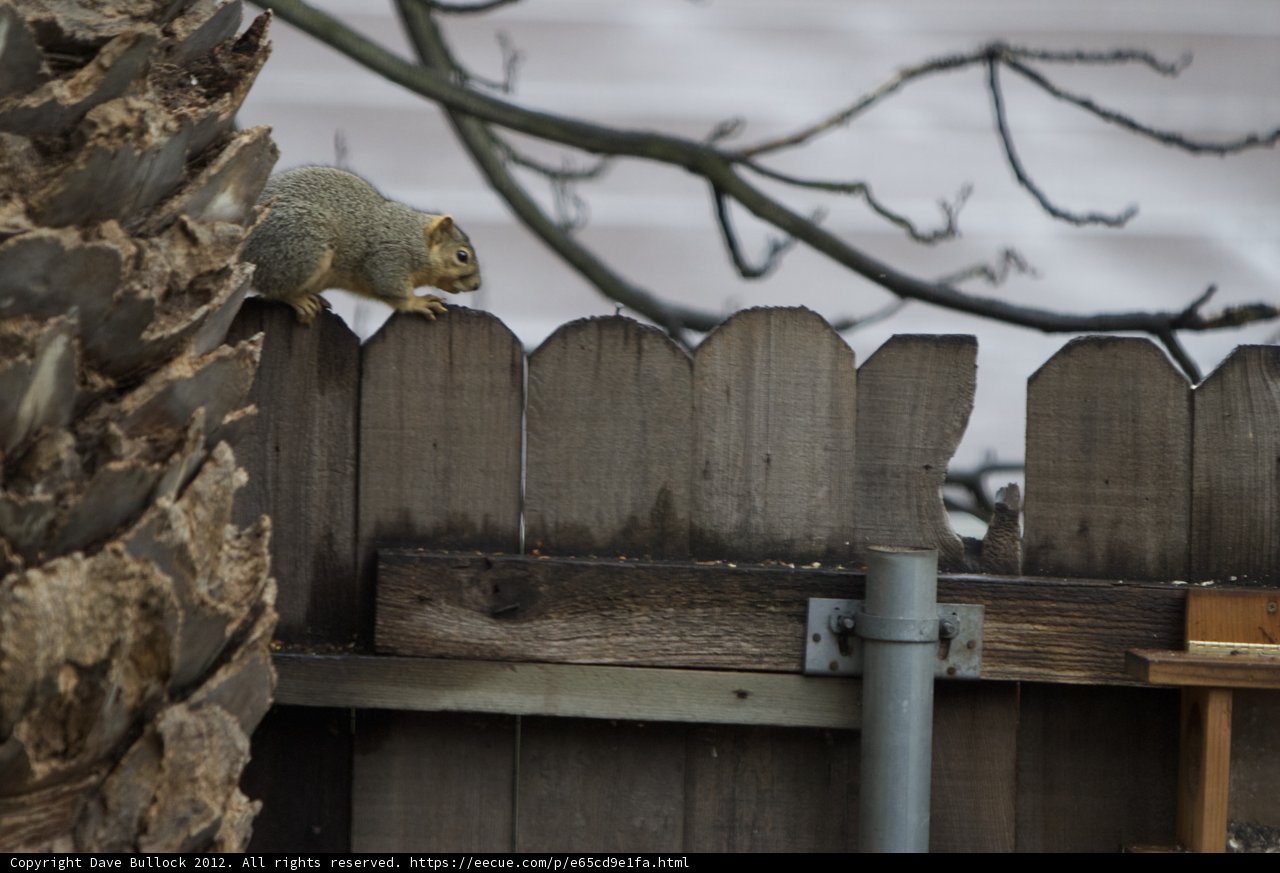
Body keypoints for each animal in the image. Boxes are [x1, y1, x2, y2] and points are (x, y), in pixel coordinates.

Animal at [242, 166, 481, 325]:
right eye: (462, 256)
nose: (477, 285)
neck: (416, 240)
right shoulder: (389, 259)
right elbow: (392, 289)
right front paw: (418, 302)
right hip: (301, 248)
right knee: (273, 288)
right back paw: (298, 299)